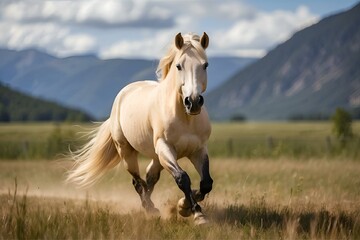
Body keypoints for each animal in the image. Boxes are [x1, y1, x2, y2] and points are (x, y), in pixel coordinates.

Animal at [67, 32, 212, 225]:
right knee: (138, 182)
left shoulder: (198, 150)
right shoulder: (165, 148)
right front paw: (194, 212)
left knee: (149, 179)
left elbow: (206, 183)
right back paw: (150, 209)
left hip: (157, 157)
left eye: (205, 65)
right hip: (127, 151)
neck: (185, 118)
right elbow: (182, 178)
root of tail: (123, 94)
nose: (193, 102)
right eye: (179, 66)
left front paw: (185, 205)